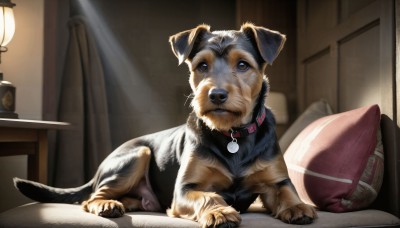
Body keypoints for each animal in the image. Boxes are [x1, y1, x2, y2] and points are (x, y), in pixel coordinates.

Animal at [14, 24, 318, 227]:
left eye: (243, 65)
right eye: (201, 66)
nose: (216, 95)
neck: (232, 133)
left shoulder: (276, 180)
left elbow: (286, 191)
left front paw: (298, 206)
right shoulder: (184, 190)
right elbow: (208, 195)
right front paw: (220, 211)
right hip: (137, 154)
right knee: (91, 197)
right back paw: (107, 204)